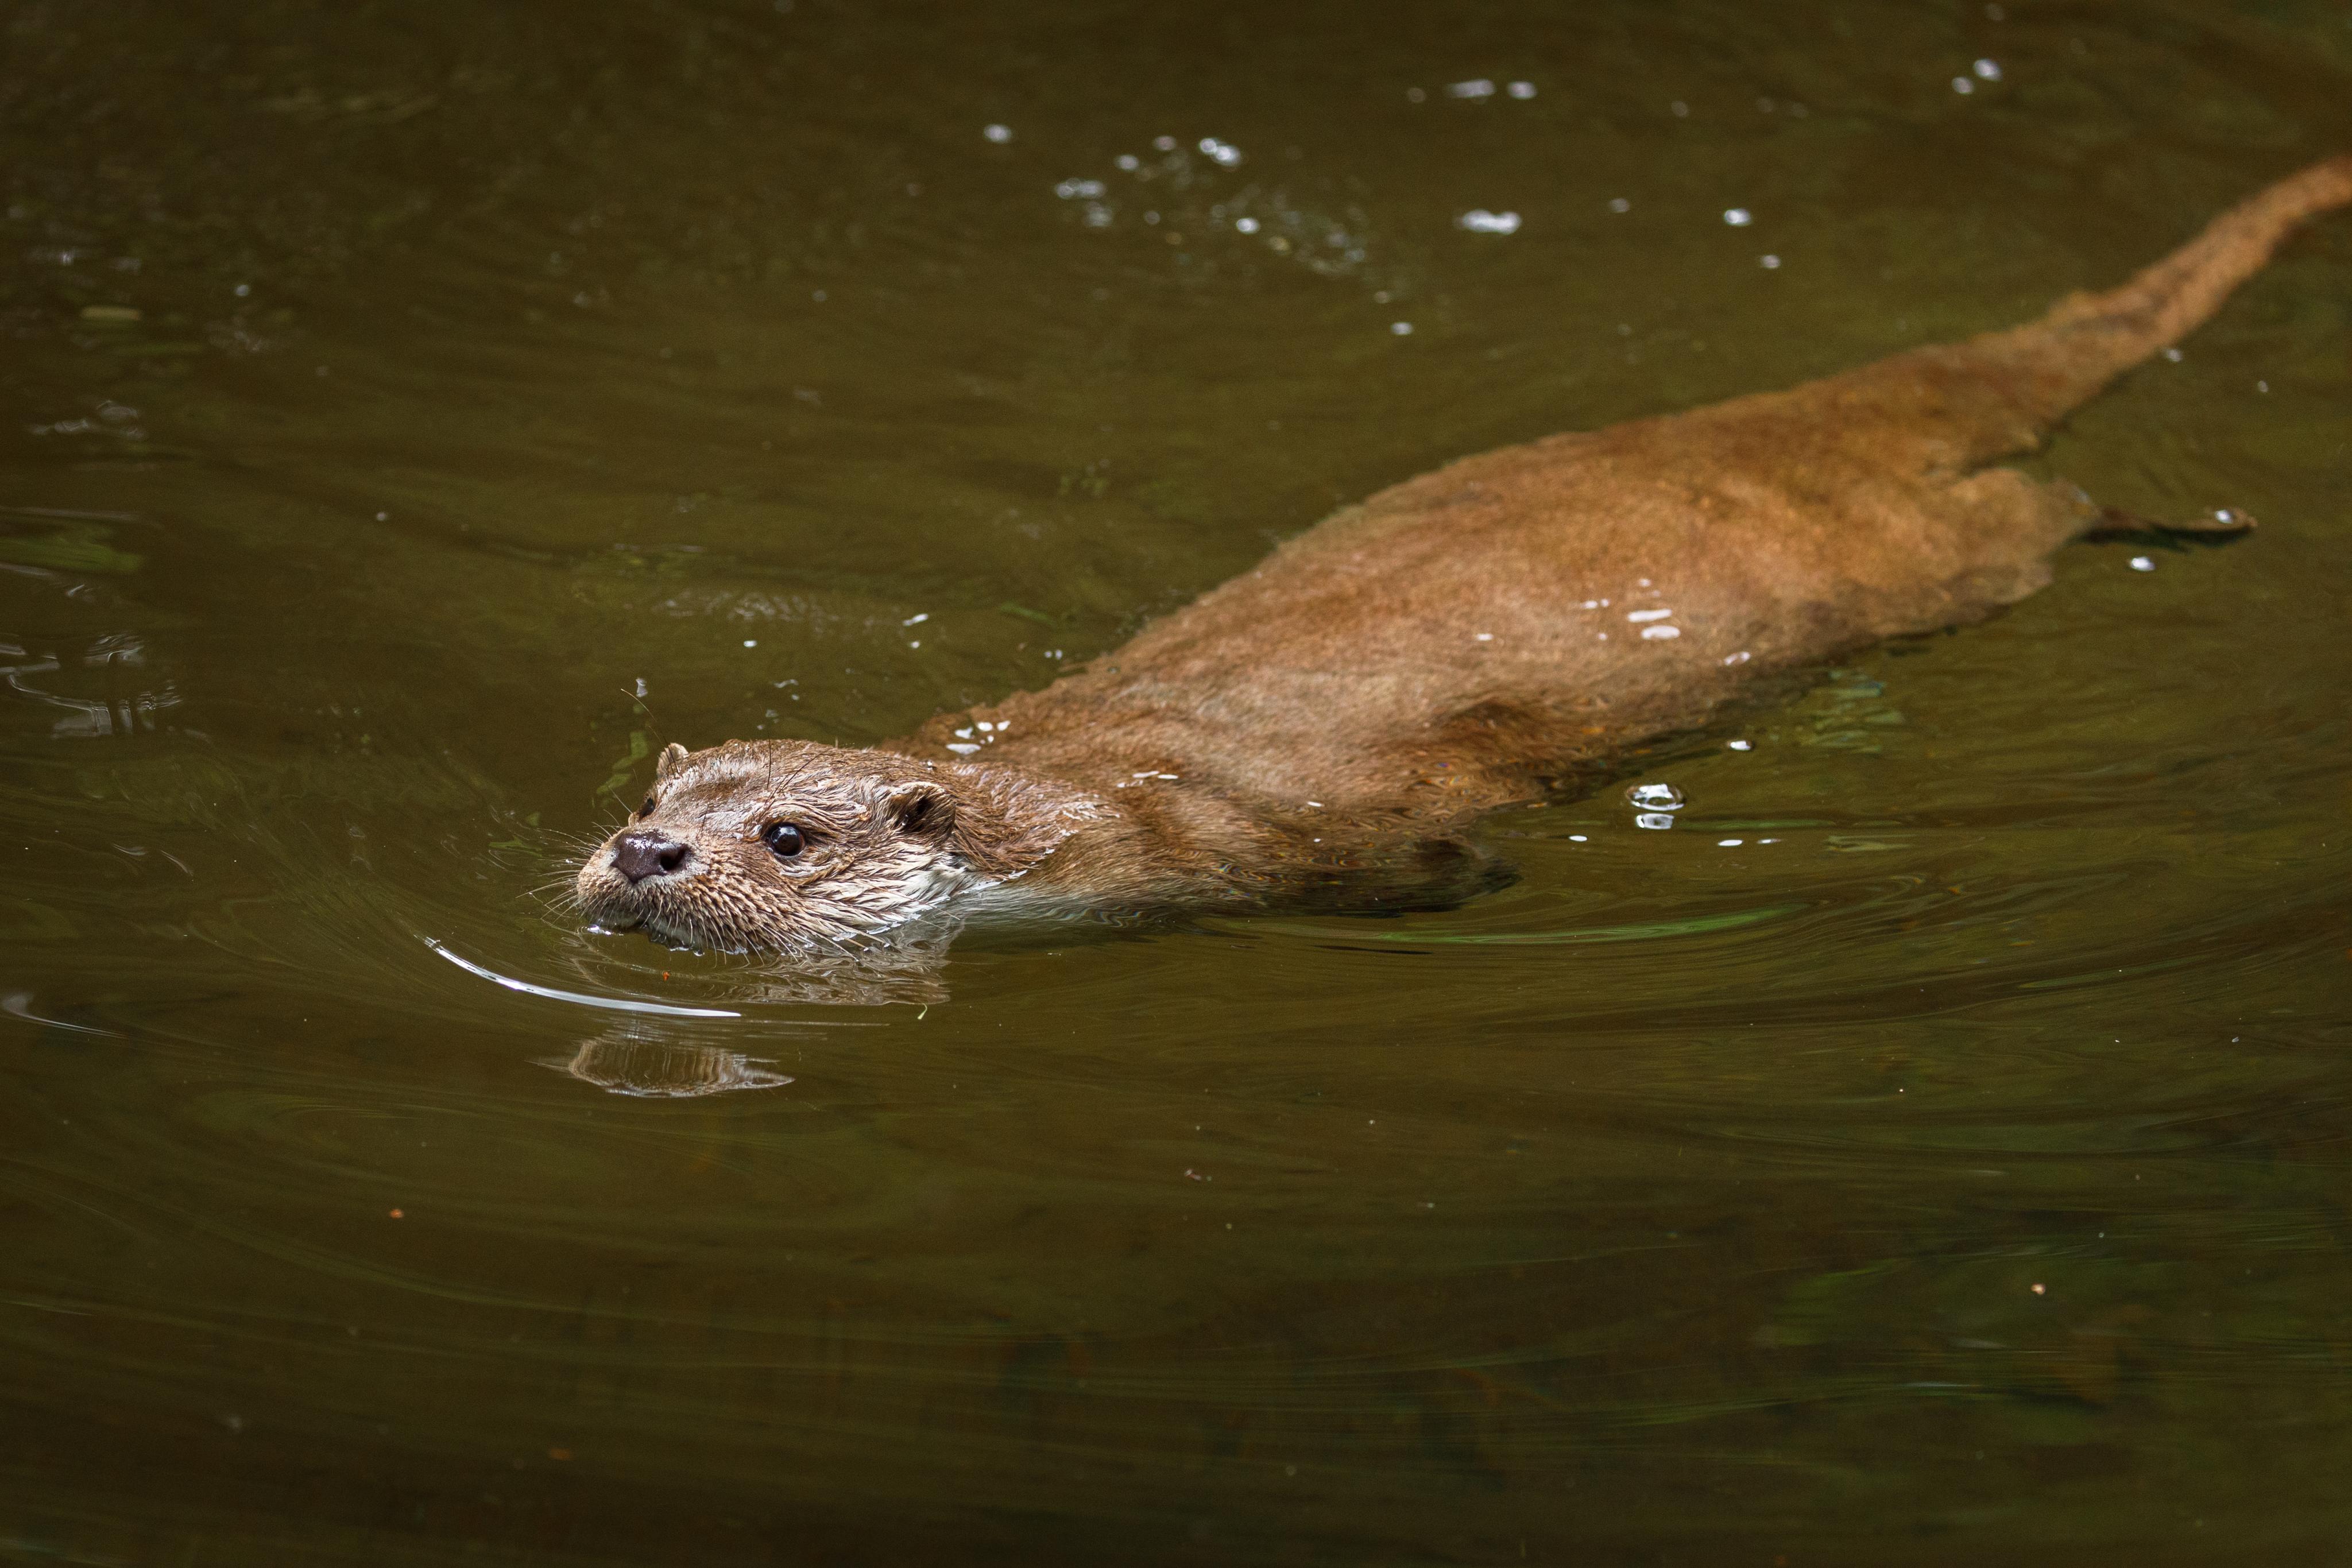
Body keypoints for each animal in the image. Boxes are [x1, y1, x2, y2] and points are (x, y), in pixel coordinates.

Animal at [574, 165, 2352, 963]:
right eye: (650, 797)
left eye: (786, 837)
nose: (648, 857)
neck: (1076, 803)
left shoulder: (1277, 844)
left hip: (1942, 553)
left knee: (2054, 508)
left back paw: (2192, 523)